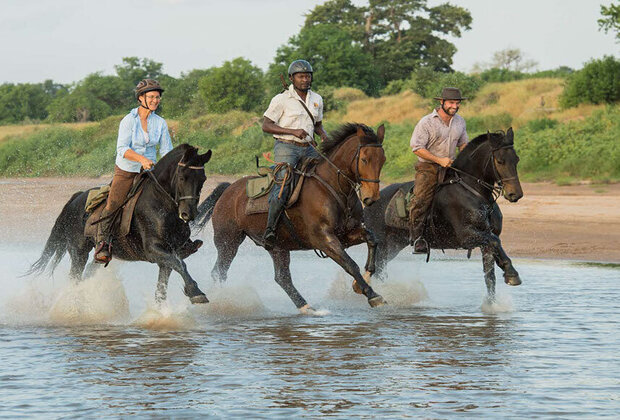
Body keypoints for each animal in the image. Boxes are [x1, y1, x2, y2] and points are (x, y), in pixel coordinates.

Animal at [27, 144, 228, 306]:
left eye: (203, 179)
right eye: (182, 177)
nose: (188, 213)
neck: (162, 204)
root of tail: (76, 198)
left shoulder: (170, 253)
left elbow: (163, 285)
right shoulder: (154, 250)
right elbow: (181, 266)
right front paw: (195, 292)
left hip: (96, 256)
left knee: (87, 274)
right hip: (78, 252)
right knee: (75, 278)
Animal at [196, 123, 388, 310]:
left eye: (383, 160)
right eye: (364, 159)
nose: (371, 197)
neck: (333, 187)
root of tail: (227, 190)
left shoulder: (345, 235)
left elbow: (372, 239)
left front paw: (361, 282)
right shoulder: (325, 240)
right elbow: (350, 264)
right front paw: (373, 295)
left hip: (277, 247)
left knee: (282, 278)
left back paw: (306, 307)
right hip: (229, 242)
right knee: (219, 272)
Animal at [360, 128, 524, 298]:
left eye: (516, 159)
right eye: (500, 161)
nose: (515, 194)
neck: (473, 192)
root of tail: (368, 204)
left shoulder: (486, 239)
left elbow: (490, 276)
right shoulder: (466, 236)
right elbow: (495, 242)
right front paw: (511, 273)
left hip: (394, 245)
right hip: (383, 245)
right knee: (377, 270)